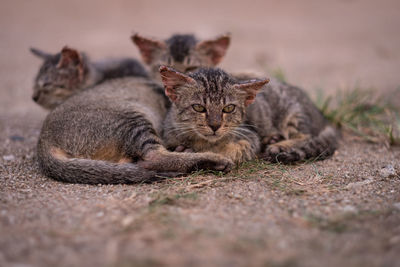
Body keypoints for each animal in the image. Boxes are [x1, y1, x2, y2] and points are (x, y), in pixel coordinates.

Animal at [36, 75, 234, 184]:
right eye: (199, 107)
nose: (215, 125)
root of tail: (44, 140)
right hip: (132, 119)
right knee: (153, 158)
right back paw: (211, 160)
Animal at [159, 66, 338, 165]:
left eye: (228, 108)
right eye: (198, 107)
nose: (215, 125)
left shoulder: (249, 137)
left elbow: (230, 150)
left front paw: (200, 152)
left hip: (293, 113)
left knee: (306, 135)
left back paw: (279, 145)